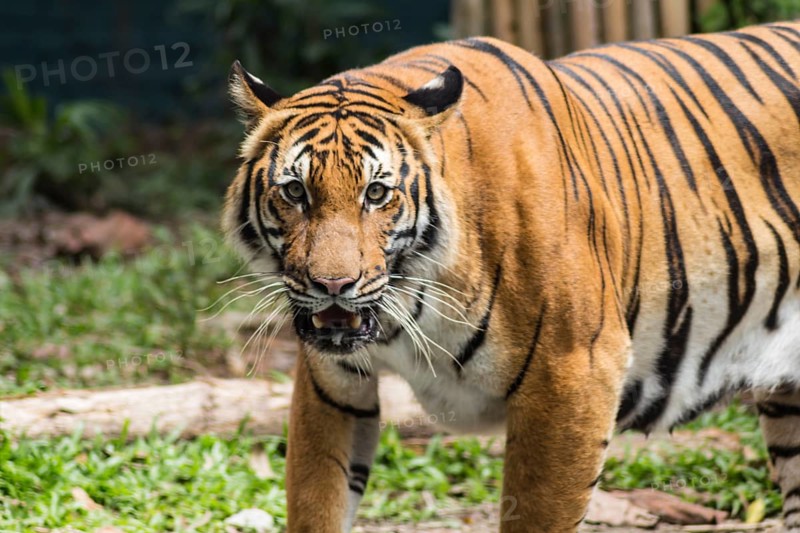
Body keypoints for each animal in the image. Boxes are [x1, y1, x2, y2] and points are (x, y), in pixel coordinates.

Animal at [222, 20, 800, 532]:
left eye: (377, 193)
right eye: (295, 191)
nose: (332, 286)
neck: (416, 301)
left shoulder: (574, 372)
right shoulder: (333, 387)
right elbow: (317, 501)